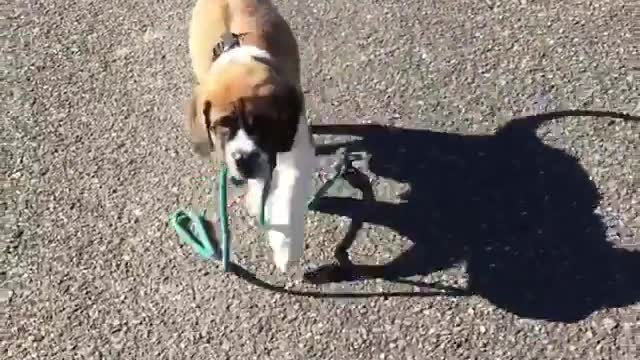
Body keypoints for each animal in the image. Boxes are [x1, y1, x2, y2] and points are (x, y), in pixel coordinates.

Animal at [185, 0, 316, 272]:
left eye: (262, 123)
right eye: (221, 125)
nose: (244, 160)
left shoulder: (297, 145)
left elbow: (290, 193)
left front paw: (286, 247)